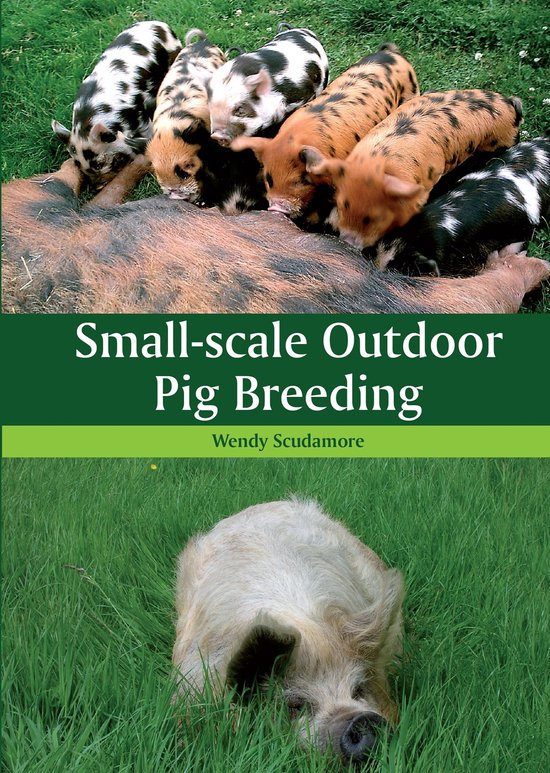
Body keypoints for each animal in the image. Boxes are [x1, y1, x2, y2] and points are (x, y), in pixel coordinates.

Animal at [303, 89, 523, 248]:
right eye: (341, 206)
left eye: (375, 217)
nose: (348, 243)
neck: (377, 162)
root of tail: (510, 104)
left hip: (501, 142)